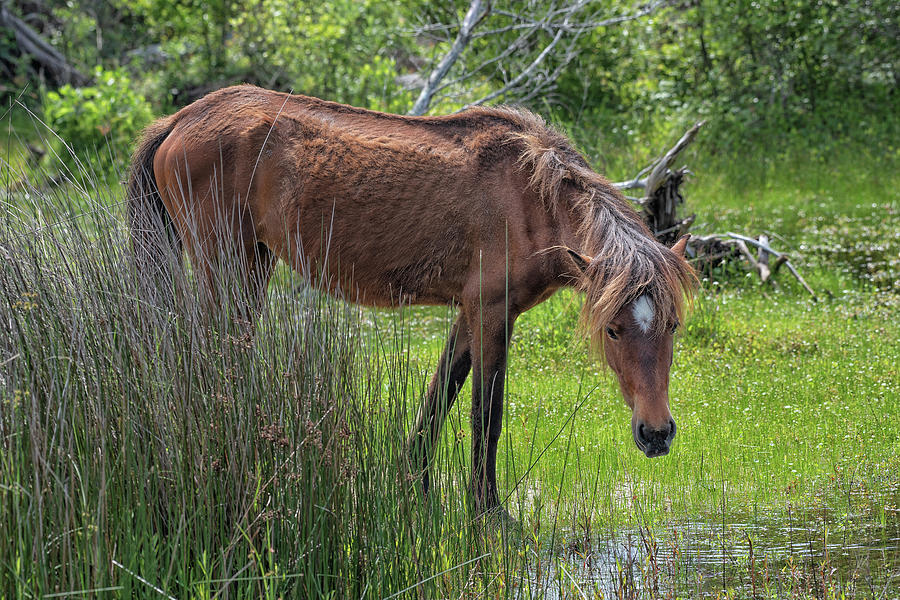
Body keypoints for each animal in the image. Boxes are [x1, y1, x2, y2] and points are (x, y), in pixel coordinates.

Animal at [125, 84, 696, 512]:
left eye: (671, 326)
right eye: (612, 330)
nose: (656, 433)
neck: (531, 197)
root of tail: (179, 120)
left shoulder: (472, 312)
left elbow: (438, 399)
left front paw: (413, 485)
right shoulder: (492, 312)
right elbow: (485, 414)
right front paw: (487, 509)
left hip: (253, 265)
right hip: (226, 266)